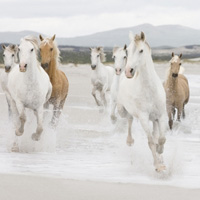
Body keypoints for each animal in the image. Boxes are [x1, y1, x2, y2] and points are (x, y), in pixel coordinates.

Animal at [118, 31, 166, 172]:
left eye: (141, 50)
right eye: (127, 51)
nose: (128, 71)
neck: (150, 90)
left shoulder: (161, 116)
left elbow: (161, 138)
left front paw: (160, 154)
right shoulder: (144, 117)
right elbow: (151, 142)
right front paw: (158, 166)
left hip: (154, 119)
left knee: (155, 133)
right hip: (122, 110)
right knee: (129, 119)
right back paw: (129, 141)